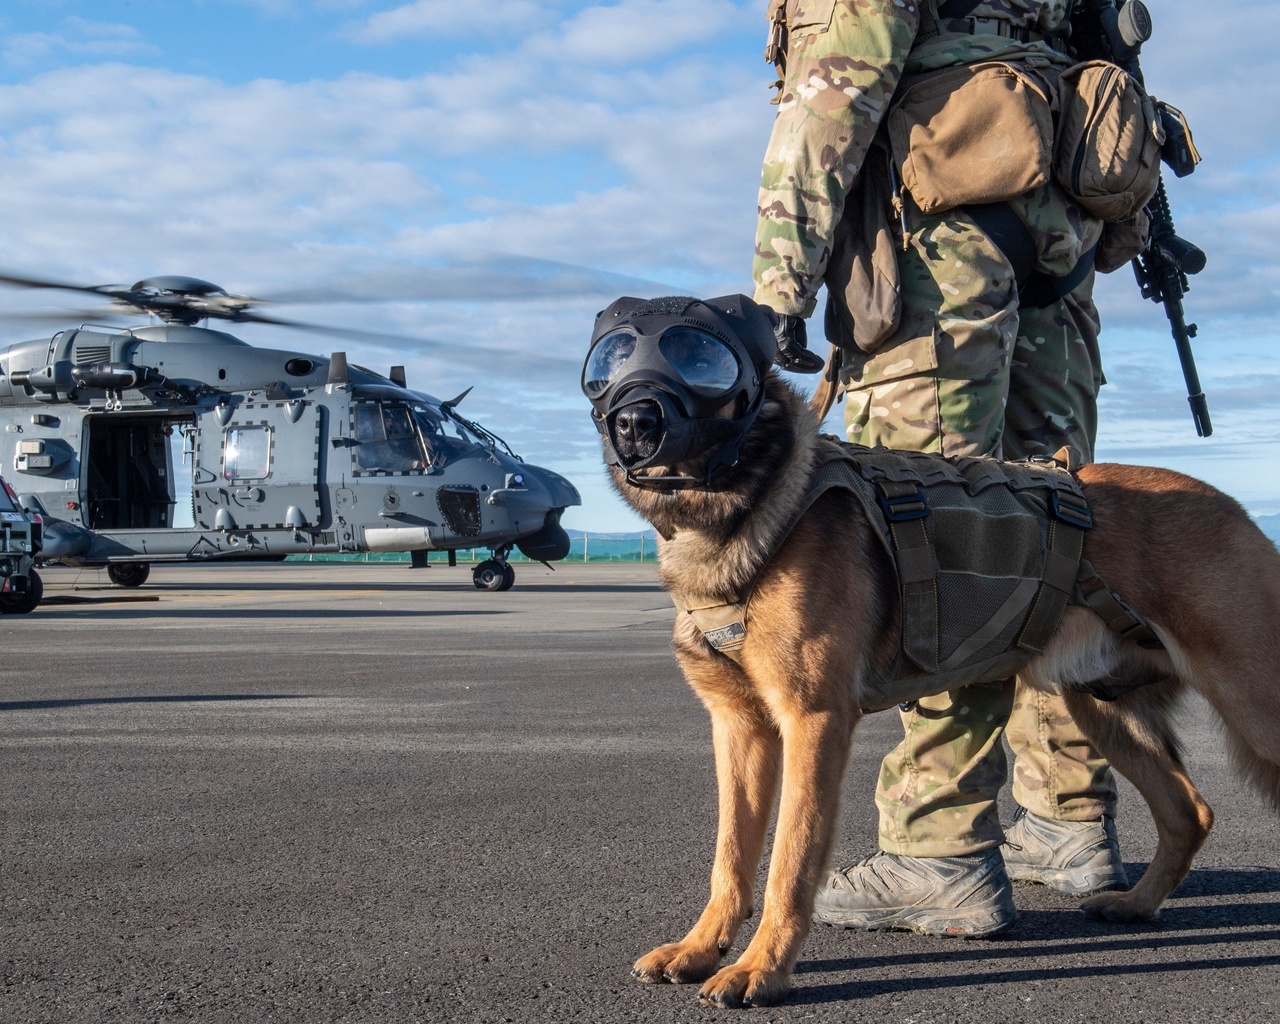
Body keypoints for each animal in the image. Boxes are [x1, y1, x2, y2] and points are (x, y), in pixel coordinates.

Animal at [586, 294, 1280, 1008]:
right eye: (608, 364)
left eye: (700, 359)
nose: (633, 421)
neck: (751, 503)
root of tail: (1236, 509)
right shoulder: (740, 728)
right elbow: (730, 856)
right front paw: (702, 948)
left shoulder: (812, 724)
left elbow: (790, 859)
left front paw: (763, 968)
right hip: (1102, 711)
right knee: (1190, 813)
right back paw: (1136, 904)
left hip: (1257, 708)